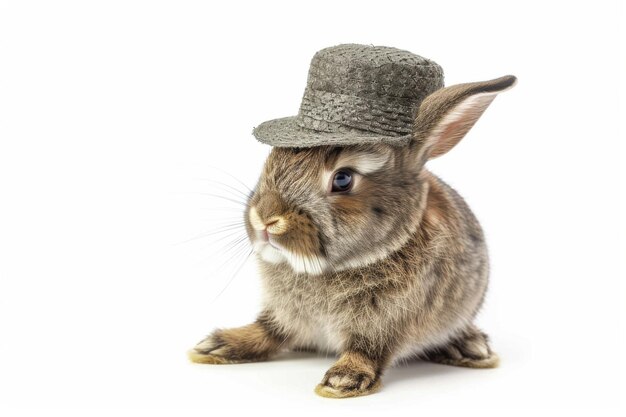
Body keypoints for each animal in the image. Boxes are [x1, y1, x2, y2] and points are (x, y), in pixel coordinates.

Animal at [188, 74, 516, 396]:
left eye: (343, 179)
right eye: (273, 158)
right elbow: (269, 331)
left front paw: (343, 380)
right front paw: (218, 345)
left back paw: (471, 348)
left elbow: (369, 350)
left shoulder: (386, 323)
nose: (266, 219)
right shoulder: (284, 314)